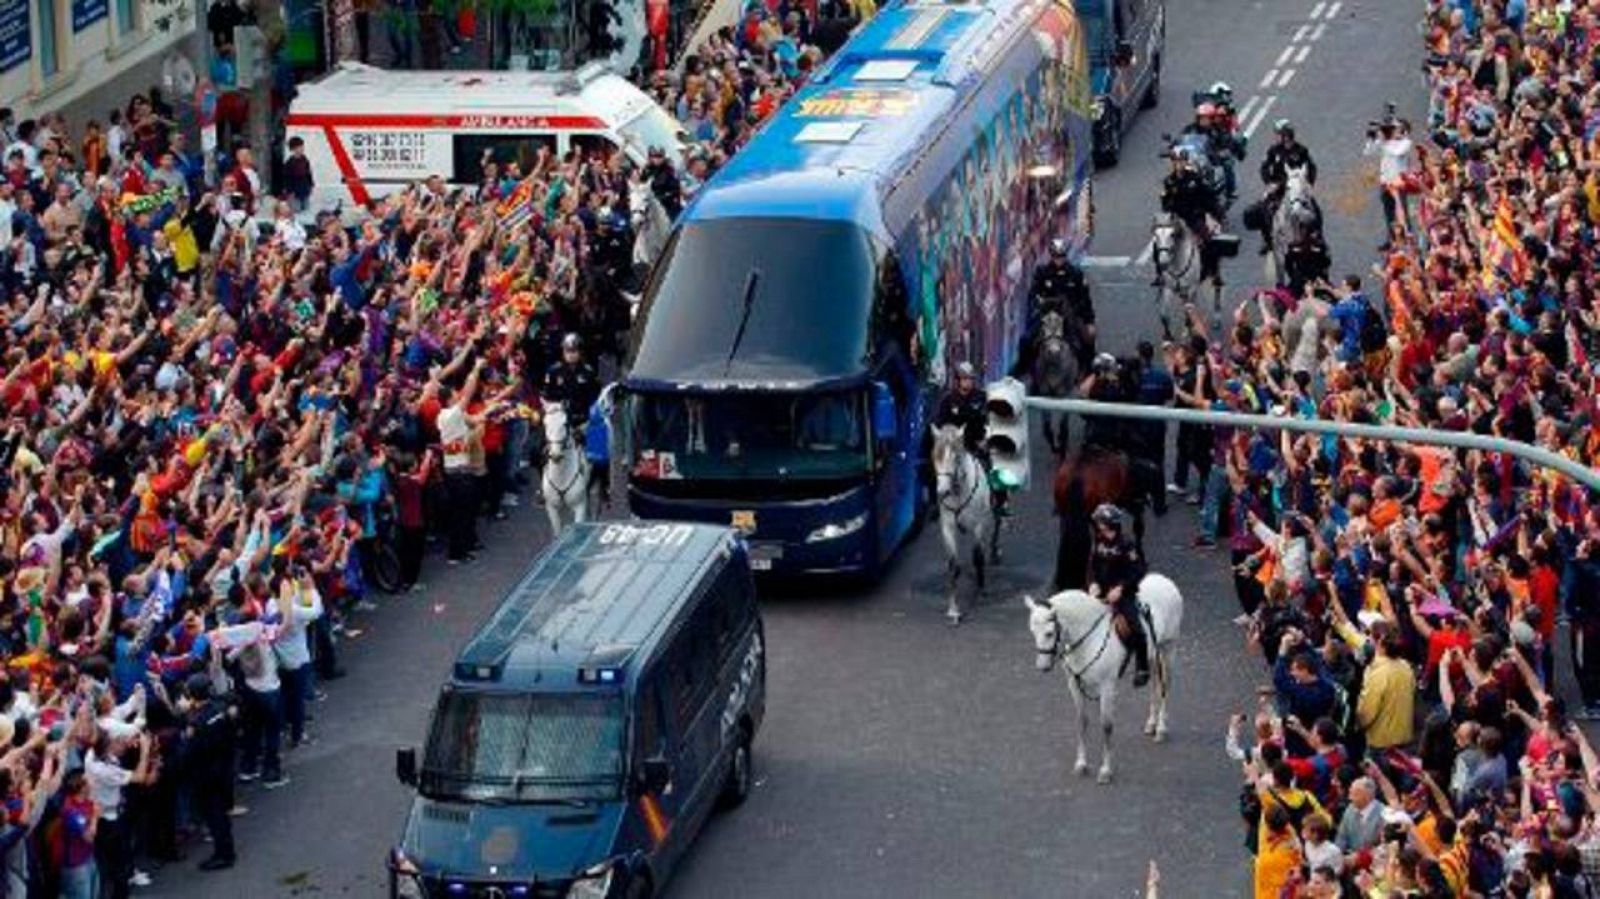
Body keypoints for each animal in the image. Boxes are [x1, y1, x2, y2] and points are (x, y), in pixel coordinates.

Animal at [540, 403, 592, 534]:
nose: (555, 455)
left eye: (565, 423)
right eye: (545, 423)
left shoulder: (579, 506)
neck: (561, 477)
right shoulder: (551, 508)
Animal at [934, 422, 992, 623]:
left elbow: (978, 556)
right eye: (935, 455)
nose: (942, 492)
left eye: (956, 457)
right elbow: (953, 565)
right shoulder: (947, 528)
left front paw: (981, 591)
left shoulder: (978, 525)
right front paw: (953, 610)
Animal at [1017, 569, 1184, 780]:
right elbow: (1081, 722)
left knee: (1164, 688)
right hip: (1153, 654)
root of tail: (1163, 579)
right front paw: (1081, 764)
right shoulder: (1074, 684)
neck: (1089, 638)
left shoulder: (1107, 687)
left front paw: (1105, 770)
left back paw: (1161, 728)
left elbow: (1106, 725)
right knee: (1154, 684)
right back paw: (1151, 724)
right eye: (1032, 631)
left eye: (1049, 633)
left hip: (1169, 650)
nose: (1042, 666)